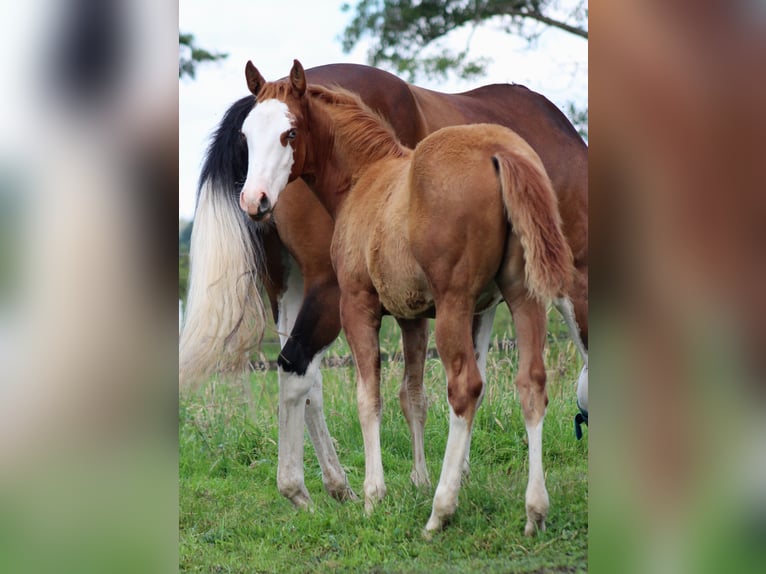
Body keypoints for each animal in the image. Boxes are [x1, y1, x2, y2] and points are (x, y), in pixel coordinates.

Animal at [179, 62, 588, 517]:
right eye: (247, 137)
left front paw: (398, 487)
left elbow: (387, 395)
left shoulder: (391, 307)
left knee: (305, 371)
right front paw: (416, 482)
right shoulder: (420, 308)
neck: (368, 173)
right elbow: (401, 395)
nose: (255, 200)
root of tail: (500, 155)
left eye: (290, 133)